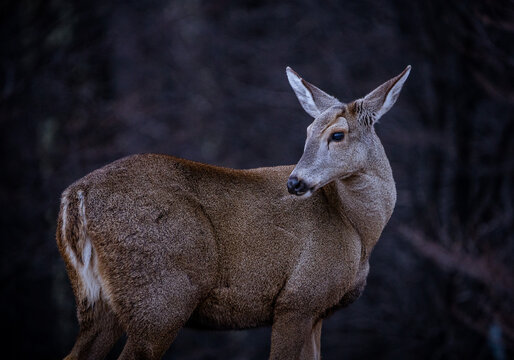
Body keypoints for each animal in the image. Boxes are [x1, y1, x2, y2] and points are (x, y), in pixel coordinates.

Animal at [56, 64, 408, 360]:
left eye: (337, 134)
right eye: (308, 132)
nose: (295, 182)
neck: (358, 229)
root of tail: (76, 196)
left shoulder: (317, 311)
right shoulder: (298, 298)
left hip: (97, 303)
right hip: (160, 298)